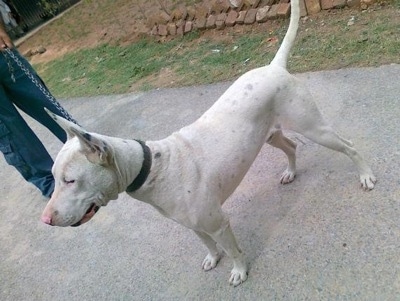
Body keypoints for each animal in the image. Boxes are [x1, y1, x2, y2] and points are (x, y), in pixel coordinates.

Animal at [40, 0, 376, 286]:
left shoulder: (218, 222)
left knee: (348, 145)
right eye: (53, 178)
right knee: (291, 147)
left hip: (312, 126)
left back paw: (366, 176)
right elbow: (208, 244)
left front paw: (239, 271)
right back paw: (291, 172)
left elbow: (231, 249)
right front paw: (212, 258)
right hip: (269, 135)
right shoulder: (192, 224)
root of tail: (274, 66)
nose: (45, 220)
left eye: (70, 180)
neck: (151, 167)